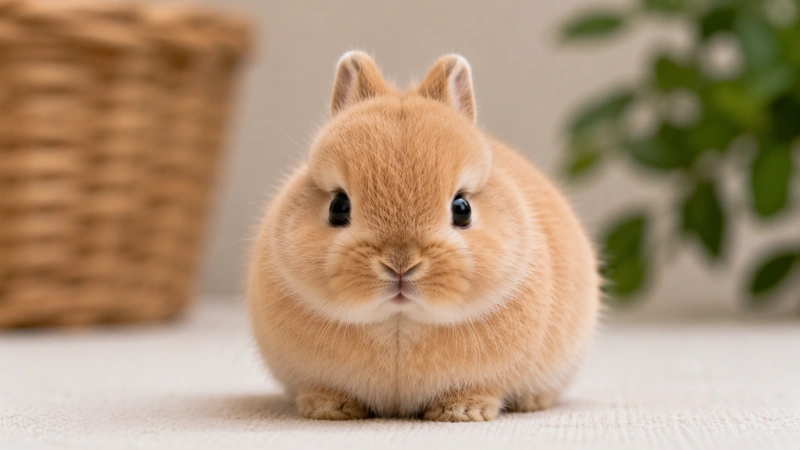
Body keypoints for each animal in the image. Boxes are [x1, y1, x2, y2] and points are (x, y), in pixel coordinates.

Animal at [248, 51, 600, 422]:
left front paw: (461, 412)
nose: (400, 264)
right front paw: (330, 409)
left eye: (462, 208)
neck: (399, 322)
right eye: (337, 207)